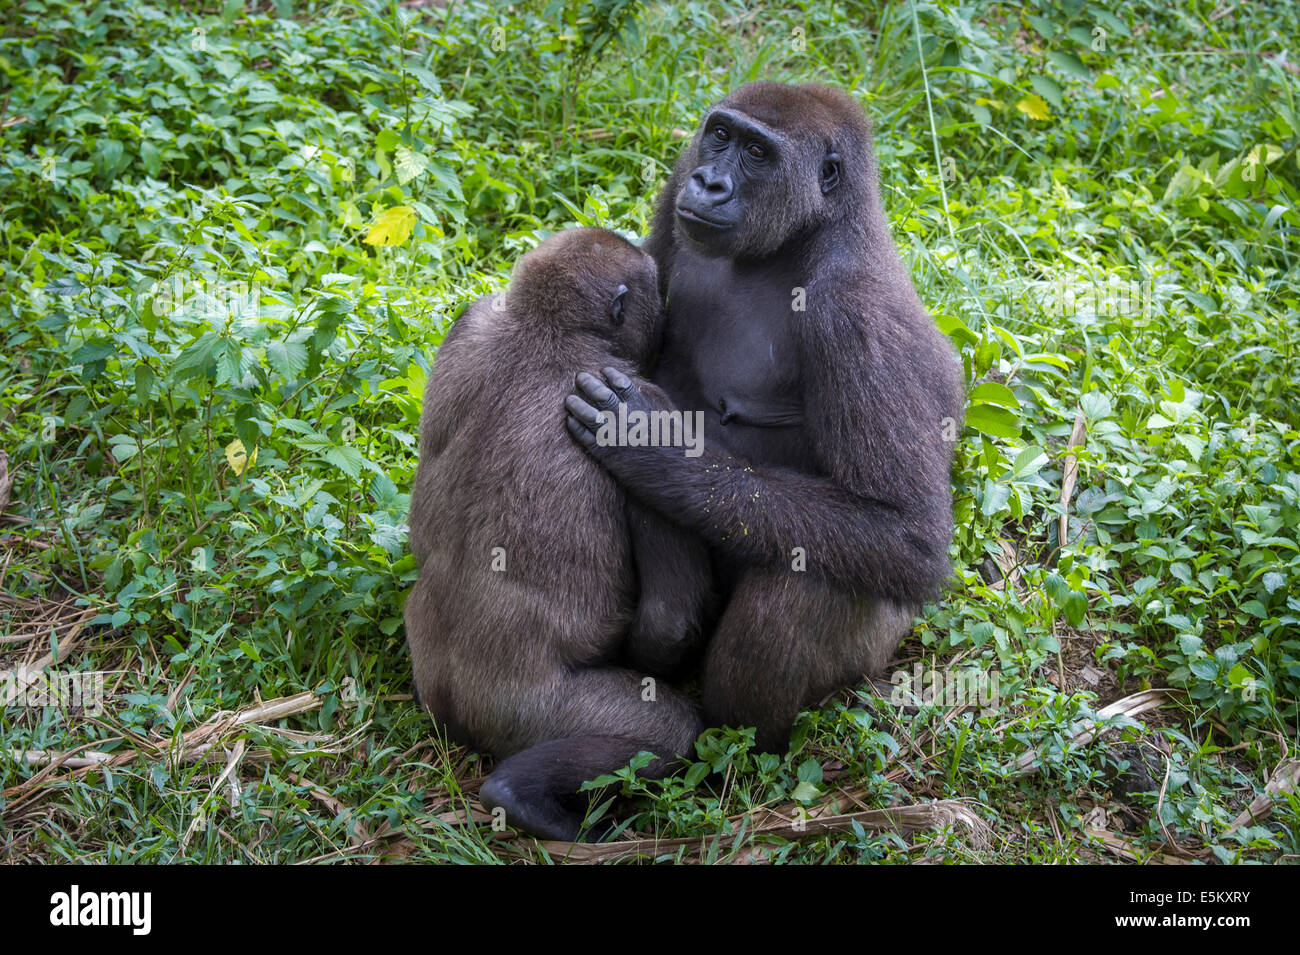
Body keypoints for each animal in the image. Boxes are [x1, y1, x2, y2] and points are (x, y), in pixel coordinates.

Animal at [405, 227, 712, 841]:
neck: (544, 327)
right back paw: (523, 800)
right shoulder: (651, 406)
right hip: (531, 716)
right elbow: (670, 619)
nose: (664, 318)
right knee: (667, 732)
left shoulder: (470, 321)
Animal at [569, 82, 967, 753]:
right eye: (720, 136)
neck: (803, 236)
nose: (708, 183)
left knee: (814, 571)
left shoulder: (851, 312)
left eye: (758, 153)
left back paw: (745, 746)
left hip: (875, 650)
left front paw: (654, 448)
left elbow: (904, 532)